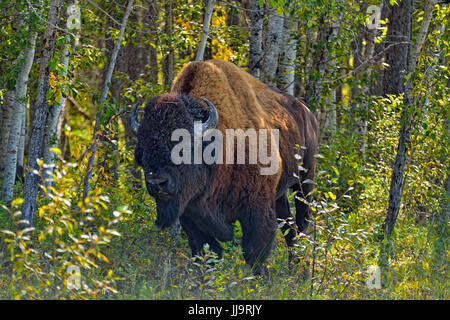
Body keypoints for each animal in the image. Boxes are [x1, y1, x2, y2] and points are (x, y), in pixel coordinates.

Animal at [132, 58, 318, 274]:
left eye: (184, 147)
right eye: (142, 150)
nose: (157, 183)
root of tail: (307, 113)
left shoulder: (257, 209)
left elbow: (254, 253)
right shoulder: (191, 216)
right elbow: (205, 254)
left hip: (305, 178)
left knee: (301, 222)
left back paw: (303, 272)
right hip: (279, 195)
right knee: (289, 228)